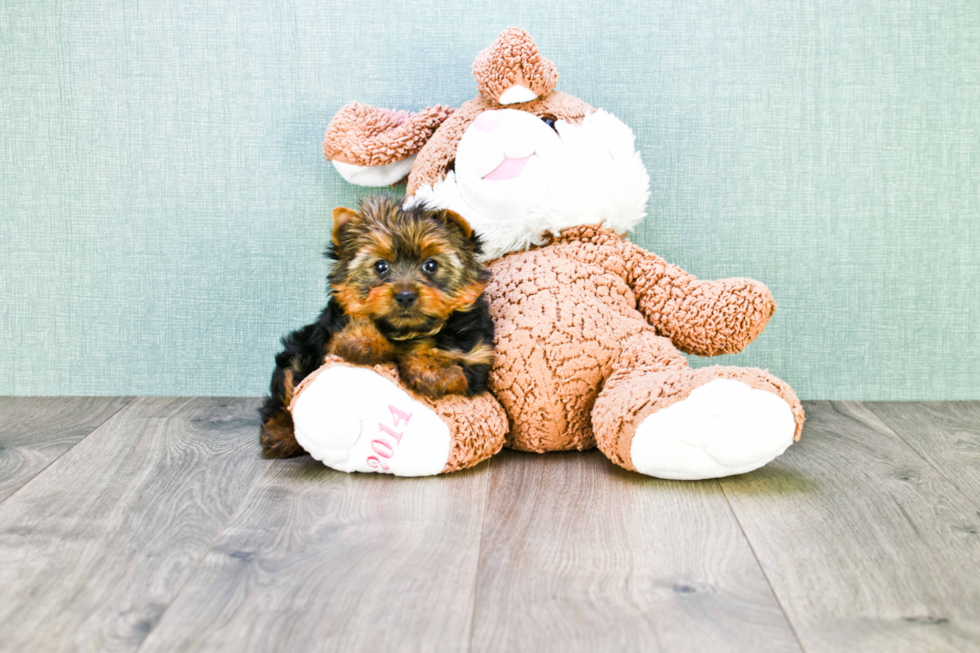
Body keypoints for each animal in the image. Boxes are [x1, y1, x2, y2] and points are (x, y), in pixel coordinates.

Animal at [260, 196, 494, 456]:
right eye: (381, 266)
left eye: (431, 265)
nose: (405, 295)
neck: (406, 330)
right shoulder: (330, 338)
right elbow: (351, 334)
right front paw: (363, 341)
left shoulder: (476, 356)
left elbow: (452, 367)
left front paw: (433, 371)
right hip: (297, 352)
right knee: (286, 390)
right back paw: (280, 434)